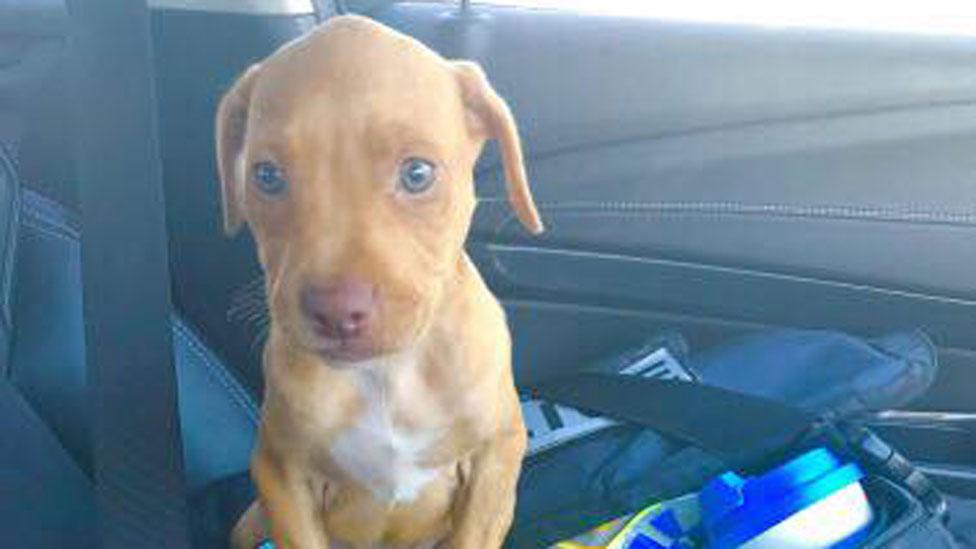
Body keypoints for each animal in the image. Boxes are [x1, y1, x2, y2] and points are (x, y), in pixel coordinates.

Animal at [216, 15, 544, 544]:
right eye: (266, 176)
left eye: (417, 173)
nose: (336, 310)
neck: (389, 374)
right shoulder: (280, 475)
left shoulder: (497, 455)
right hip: (249, 522)